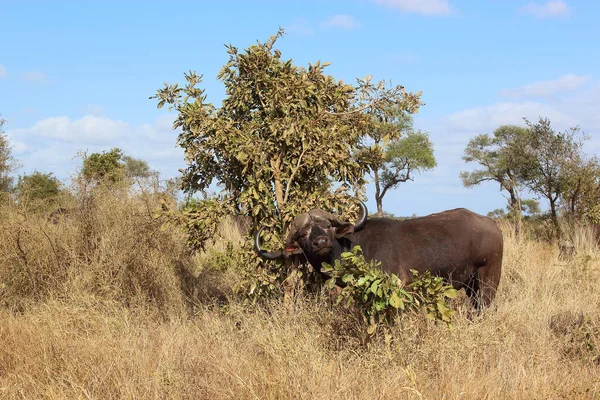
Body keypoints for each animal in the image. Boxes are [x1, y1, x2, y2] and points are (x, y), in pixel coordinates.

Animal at [255, 203, 504, 310]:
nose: (321, 243)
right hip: (471, 286)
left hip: (489, 280)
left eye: (327, 226)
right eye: (303, 234)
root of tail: (493, 225)